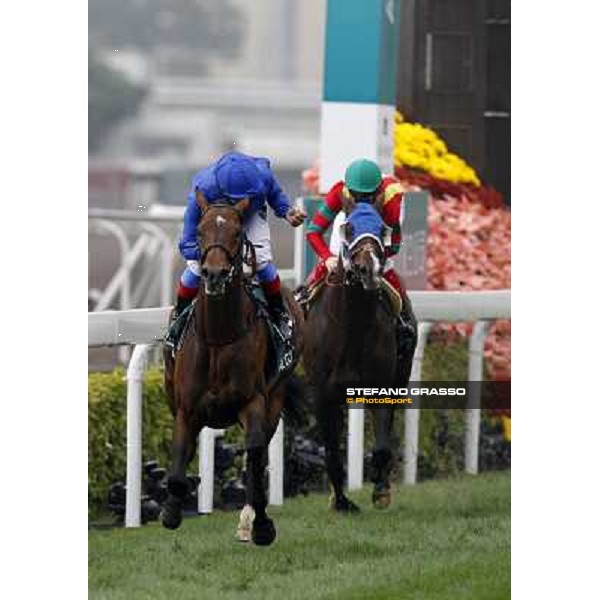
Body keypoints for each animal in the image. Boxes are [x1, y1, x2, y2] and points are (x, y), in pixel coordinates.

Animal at [161, 191, 304, 544]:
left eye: (238, 233)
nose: (213, 274)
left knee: (259, 455)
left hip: (275, 397)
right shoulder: (186, 409)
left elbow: (254, 458)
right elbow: (179, 462)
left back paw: (249, 519)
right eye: (199, 232)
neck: (218, 337)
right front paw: (171, 511)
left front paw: (262, 524)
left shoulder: (252, 402)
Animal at [304, 199, 418, 512]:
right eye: (350, 227)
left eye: (381, 228)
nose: (368, 269)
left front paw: (380, 487)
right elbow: (331, 449)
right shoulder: (322, 392)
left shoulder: (380, 385)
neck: (351, 325)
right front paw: (342, 501)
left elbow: (381, 443)